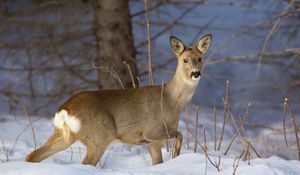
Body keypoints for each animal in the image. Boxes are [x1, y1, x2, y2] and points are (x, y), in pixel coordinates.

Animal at [26, 33, 213, 165]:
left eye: (200, 58)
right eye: (185, 60)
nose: (196, 73)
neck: (171, 101)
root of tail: (65, 110)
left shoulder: (152, 142)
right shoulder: (151, 130)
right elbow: (180, 135)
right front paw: (176, 156)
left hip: (64, 135)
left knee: (33, 155)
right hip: (99, 136)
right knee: (85, 163)